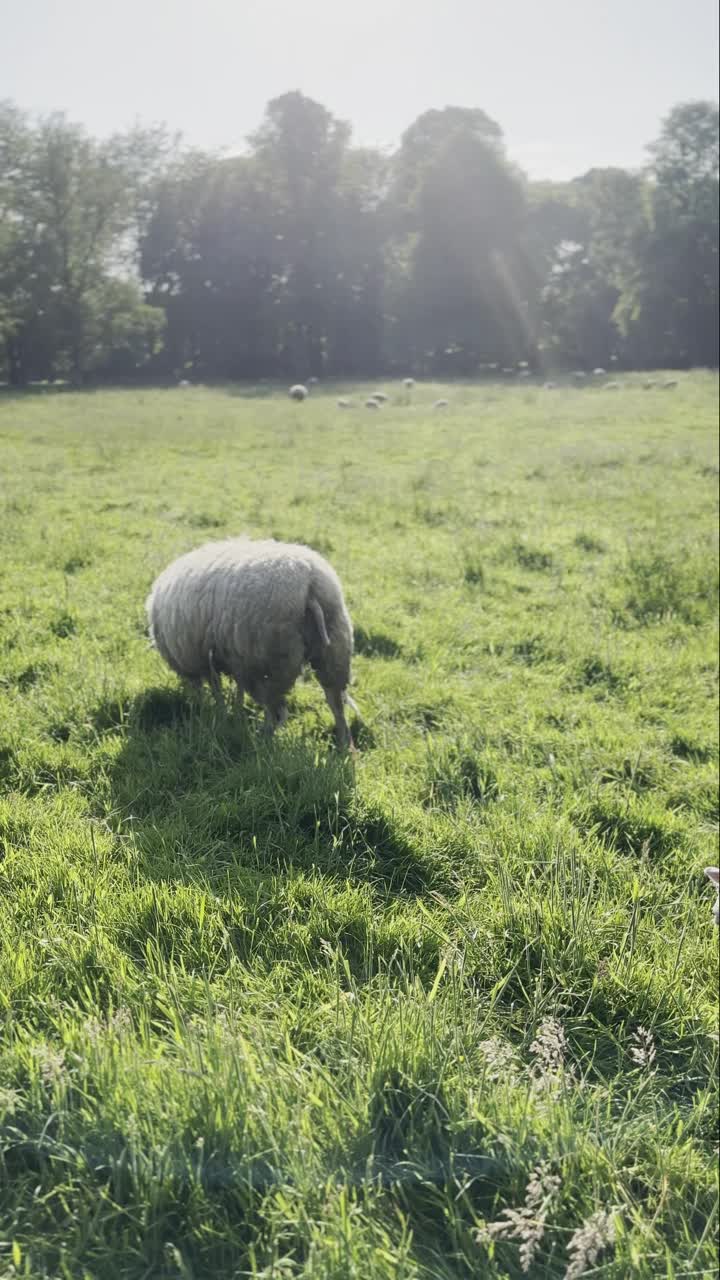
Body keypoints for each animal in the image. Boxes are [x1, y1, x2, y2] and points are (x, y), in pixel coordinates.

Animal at [144, 537, 356, 747]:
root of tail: (309, 584)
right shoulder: (232, 660)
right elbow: (231, 689)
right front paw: (232, 714)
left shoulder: (199, 660)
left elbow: (211, 688)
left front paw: (212, 711)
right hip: (334, 649)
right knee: (336, 703)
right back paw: (345, 746)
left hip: (270, 663)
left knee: (276, 712)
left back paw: (263, 740)